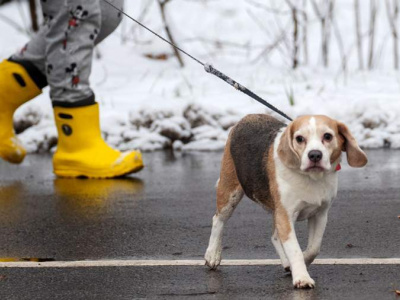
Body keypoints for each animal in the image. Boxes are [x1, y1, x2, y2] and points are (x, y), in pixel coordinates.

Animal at [205, 114, 368, 288]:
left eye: (328, 136)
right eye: (299, 138)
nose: (315, 155)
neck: (310, 178)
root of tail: (247, 117)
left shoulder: (320, 214)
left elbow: (313, 248)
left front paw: (300, 262)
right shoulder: (286, 215)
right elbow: (295, 249)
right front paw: (302, 277)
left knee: (275, 236)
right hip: (230, 192)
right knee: (218, 220)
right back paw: (212, 254)